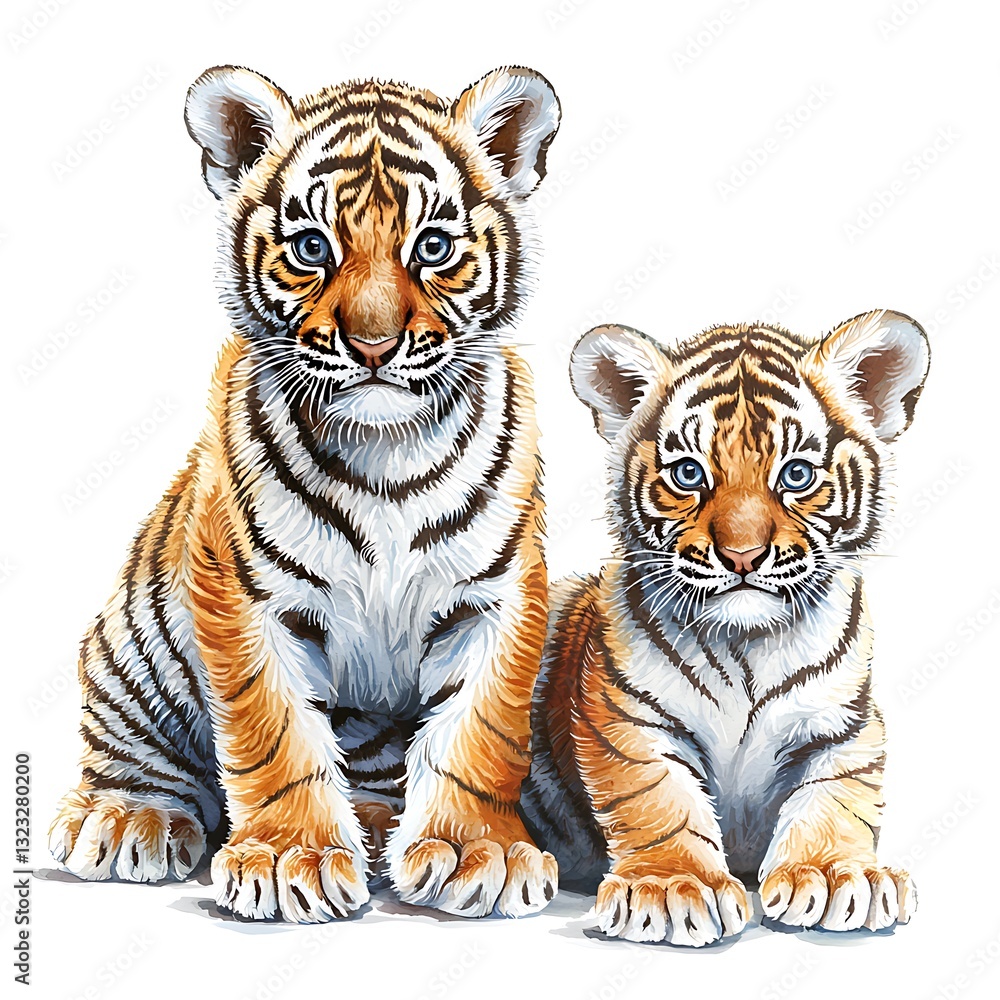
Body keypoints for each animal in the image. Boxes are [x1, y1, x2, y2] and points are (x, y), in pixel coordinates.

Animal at [48, 64, 562, 923]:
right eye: (312, 247)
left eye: (432, 247)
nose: (375, 345)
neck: (389, 451)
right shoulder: (247, 597)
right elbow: (274, 732)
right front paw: (293, 862)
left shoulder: (496, 594)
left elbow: (479, 730)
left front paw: (475, 853)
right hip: (132, 650)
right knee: (135, 747)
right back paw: (129, 818)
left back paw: (381, 823)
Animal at [520, 310, 929, 946]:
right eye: (689, 474)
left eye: (796, 475)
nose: (742, 555)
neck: (747, 644)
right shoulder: (626, 719)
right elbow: (658, 799)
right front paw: (670, 888)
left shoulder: (845, 724)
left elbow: (837, 797)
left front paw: (836, 875)